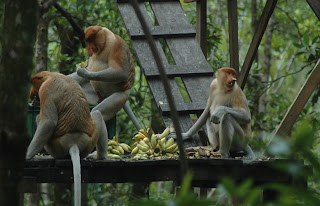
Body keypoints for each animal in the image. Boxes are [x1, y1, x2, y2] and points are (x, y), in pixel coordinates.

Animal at [26, 71, 109, 206]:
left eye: (34, 84)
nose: (32, 95)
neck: (51, 75)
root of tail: (74, 142)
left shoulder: (46, 89)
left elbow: (48, 122)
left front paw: (27, 155)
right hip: (90, 141)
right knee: (97, 114)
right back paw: (99, 157)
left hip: (56, 147)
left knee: (40, 119)